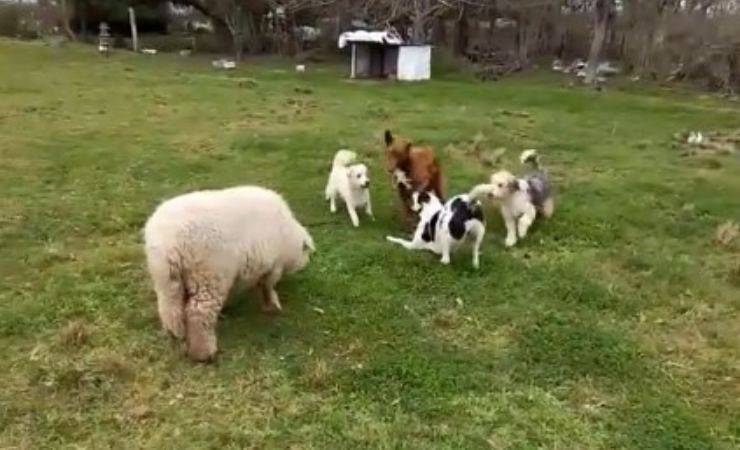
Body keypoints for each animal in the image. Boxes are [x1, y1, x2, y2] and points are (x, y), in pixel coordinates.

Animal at [143, 186, 315, 362]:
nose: (307, 261)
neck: (289, 236)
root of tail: (170, 241)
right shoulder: (273, 264)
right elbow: (267, 285)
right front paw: (271, 304)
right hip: (209, 274)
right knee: (199, 313)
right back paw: (203, 353)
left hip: (167, 278)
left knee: (170, 308)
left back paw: (176, 334)